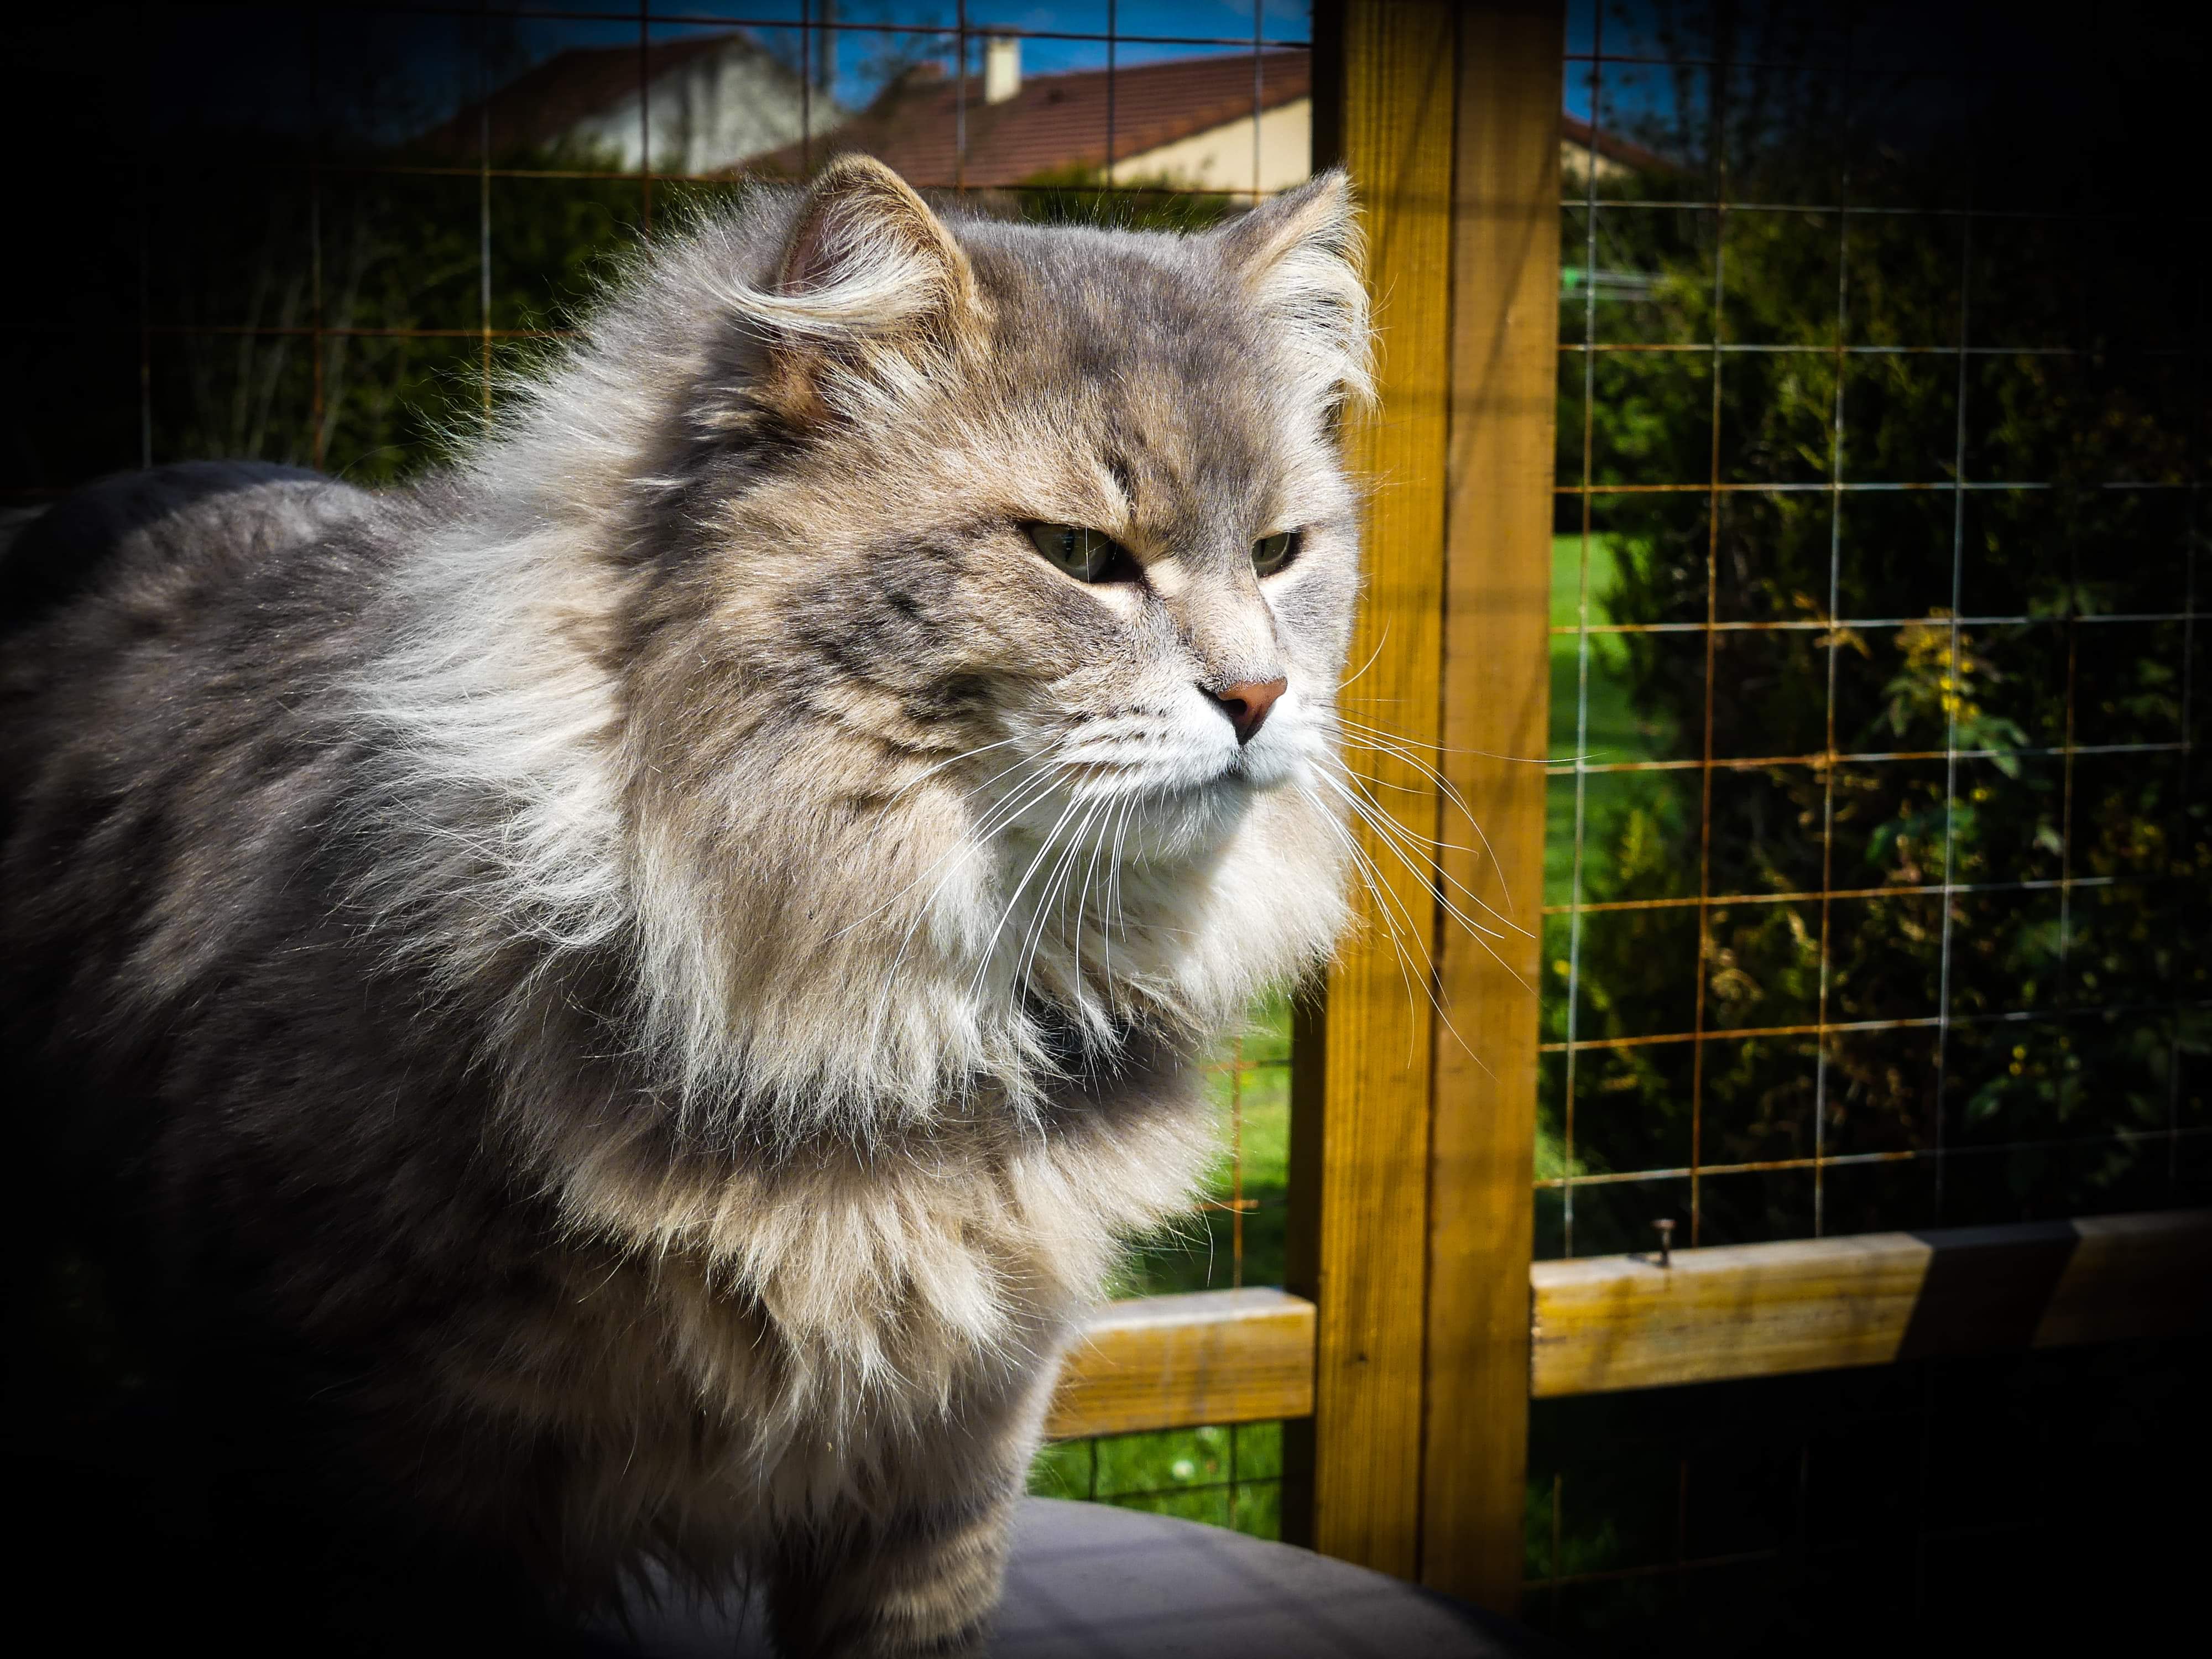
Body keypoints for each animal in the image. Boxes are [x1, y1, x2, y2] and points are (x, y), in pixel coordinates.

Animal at [0, 153, 1363, 1655]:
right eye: (1079, 553)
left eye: (1280, 552)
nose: (1259, 695)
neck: (897, 1021)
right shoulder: (396, 1467)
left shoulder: (950, 1457)